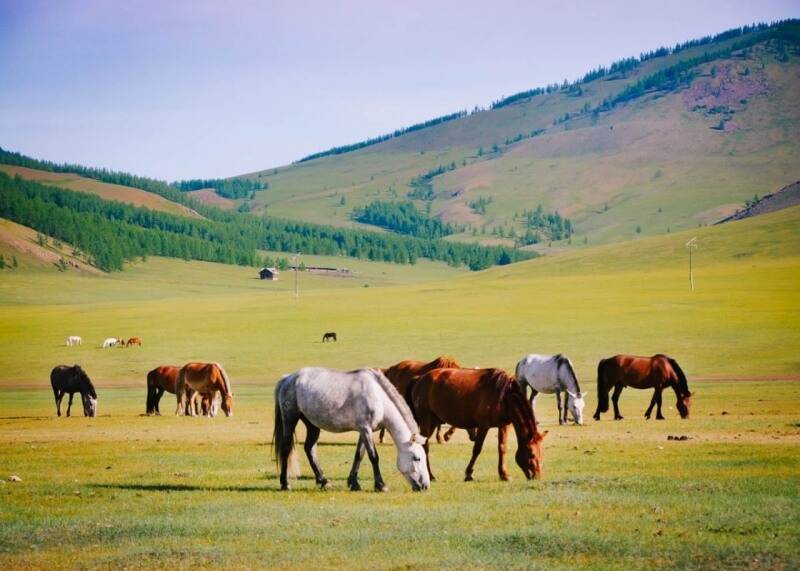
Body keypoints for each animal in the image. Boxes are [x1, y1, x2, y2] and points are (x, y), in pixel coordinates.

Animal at [272, 368, 428, 494]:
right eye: (417, 458)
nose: (425, 486)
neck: (377, 397)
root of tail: (288, 378)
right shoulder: (365, 429)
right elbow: (373, 457)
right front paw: (381, 485)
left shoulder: (365, 431)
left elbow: (359, 455)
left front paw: (354, 483)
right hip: (290, 418)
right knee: (286, 448)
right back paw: (285, 484)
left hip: (312, 425)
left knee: (309, 449)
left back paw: (324, 481)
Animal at [410, 368, 548, 484]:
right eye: (532, 454)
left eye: (541, 454)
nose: (537, 476)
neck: (504, 396)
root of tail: (420, 379)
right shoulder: (483, 425)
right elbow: (477, 449)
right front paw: (469, 474)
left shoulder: (504, 425)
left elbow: (502, 448)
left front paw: (504, 474)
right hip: (426, 419)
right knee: (424, 446)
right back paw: (431, 476)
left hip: (433, 421)